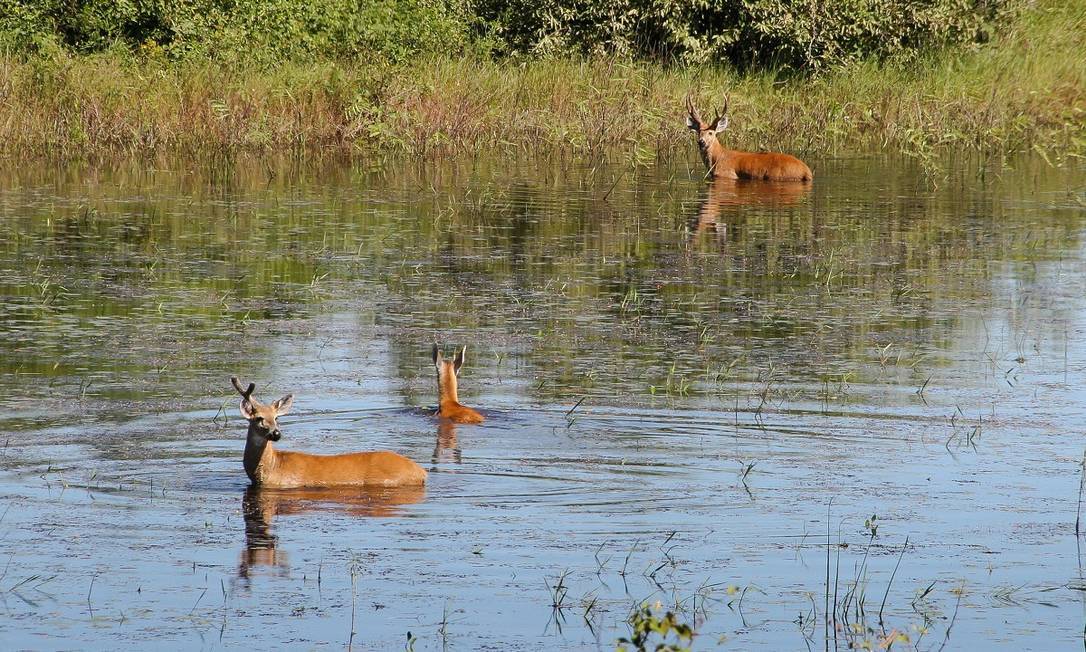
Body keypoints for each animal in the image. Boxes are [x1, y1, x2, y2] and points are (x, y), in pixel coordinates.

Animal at [682, 95, 812, 180]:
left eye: (711, 133)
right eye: (698, 132)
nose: (701, 142)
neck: (718, 158)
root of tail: (807, 171)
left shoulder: (727, 175)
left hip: (777, 175)